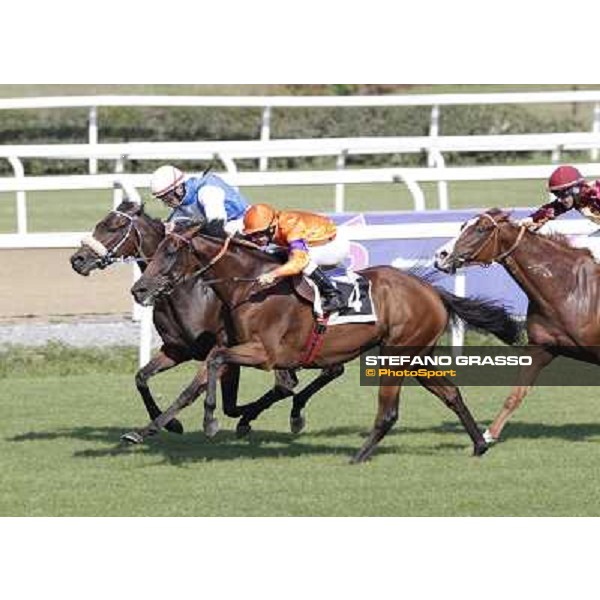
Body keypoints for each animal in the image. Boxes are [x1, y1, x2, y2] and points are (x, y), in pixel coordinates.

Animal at [68, 202, 344, 440]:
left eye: (114, 226)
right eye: (99, 223)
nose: (77, 260)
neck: (188, 290)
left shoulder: (224, 347)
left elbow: (201, 392)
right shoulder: (178, 349)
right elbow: (141, 377)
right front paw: (172, 423)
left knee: (302, 379)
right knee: (328, 371)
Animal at [131, 225, 520, 464]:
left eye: (170, 252)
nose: (139, 289)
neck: (250, 287)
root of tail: (432, 291)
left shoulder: (266, 354)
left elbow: (216, 364)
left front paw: (212, 420)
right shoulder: (236, 349)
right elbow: (194, 383)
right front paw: (146, 430)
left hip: (396, 354)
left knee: (389, 411)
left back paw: (358, 455)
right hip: (418, 355)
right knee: (452, 394)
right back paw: (479, 444)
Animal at [434, 209, 600, 442]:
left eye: (481, 229)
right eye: (462, 226)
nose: (441, 255)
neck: (569, 289)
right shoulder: (541, 348)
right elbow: (515, 395)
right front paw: (488, 436)